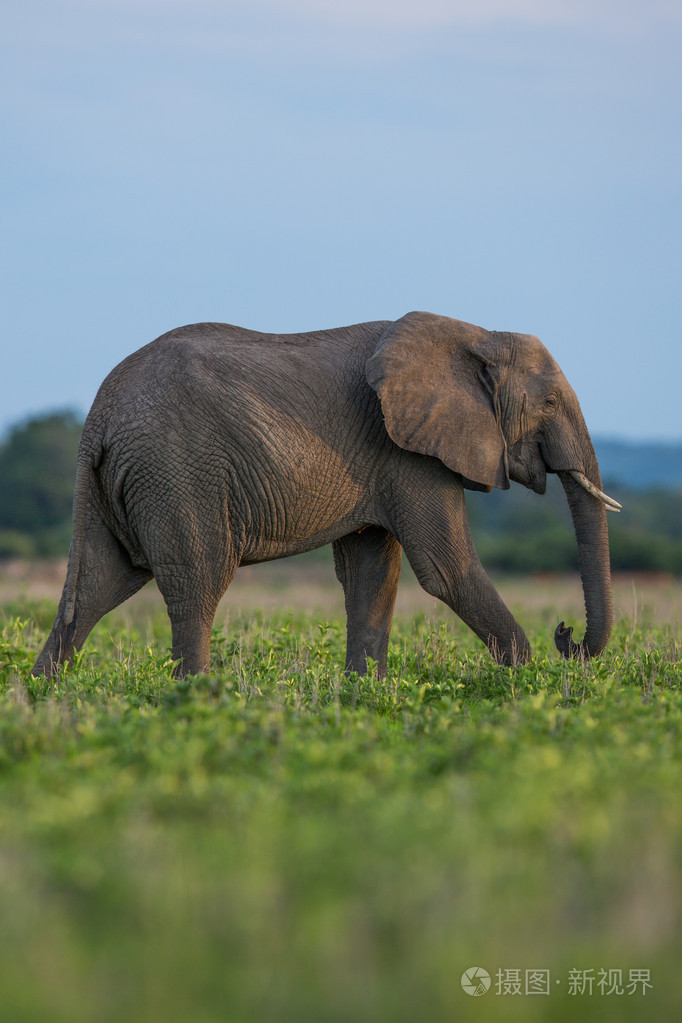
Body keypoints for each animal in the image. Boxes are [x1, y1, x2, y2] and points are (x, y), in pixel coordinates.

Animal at [32, 311, 620, 680]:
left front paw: (367, 697)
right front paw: (529, 684)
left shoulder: (389, 456)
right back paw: (196, 703)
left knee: (97, 587)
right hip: (176, 469)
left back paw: (43, 697)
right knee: (198, 581)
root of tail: (98, 416)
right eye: (549, 403)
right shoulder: (407, 453)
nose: (566, 635)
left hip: (129, 481)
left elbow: (372, 573)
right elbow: (446, 569)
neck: (475, 333)